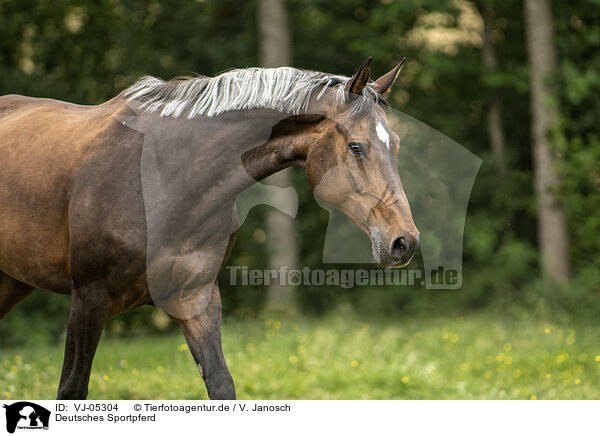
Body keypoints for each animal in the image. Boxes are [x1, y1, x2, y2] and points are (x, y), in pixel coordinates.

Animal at [0, 58, 418, 398]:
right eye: (356, 147)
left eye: (396, 144)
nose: (405, 242)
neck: (166, 176)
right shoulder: (88, 298)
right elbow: (71, 388)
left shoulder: (196, 300)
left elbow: (221, 385)